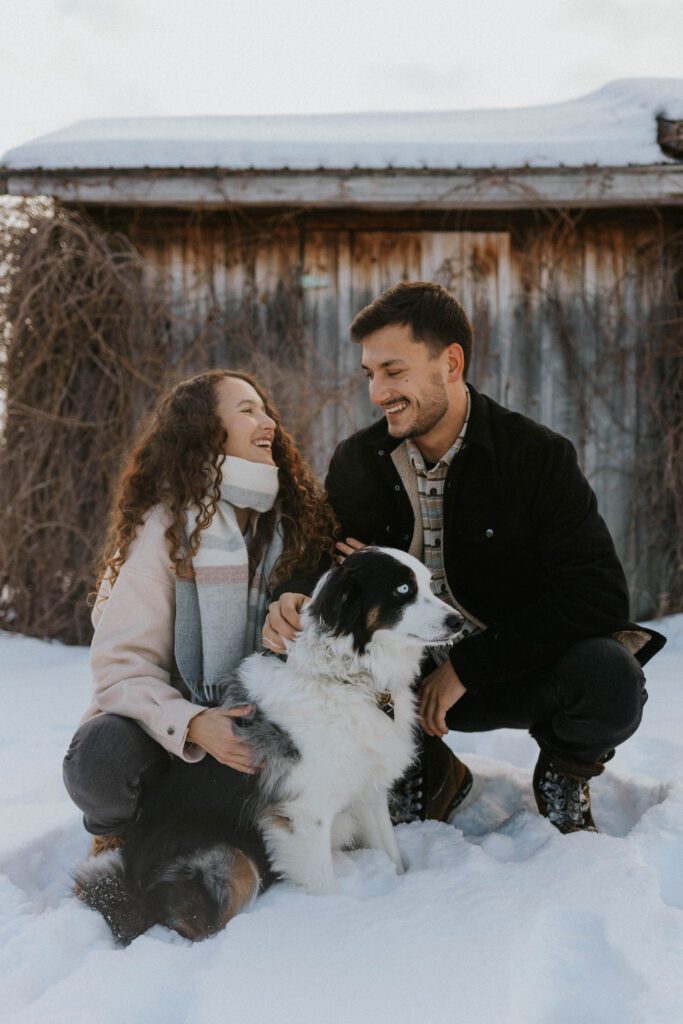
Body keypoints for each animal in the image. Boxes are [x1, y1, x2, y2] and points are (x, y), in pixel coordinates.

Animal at [73, 552, 458, 942]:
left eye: (429, 584)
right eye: (403, 589)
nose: (456, 621)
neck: (347, 679)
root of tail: (133, 880)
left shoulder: (367, 789)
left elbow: (392, 855)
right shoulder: (305, 812)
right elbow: (324, 885)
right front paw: (336, 920)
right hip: (232, 861)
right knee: (193, 923)